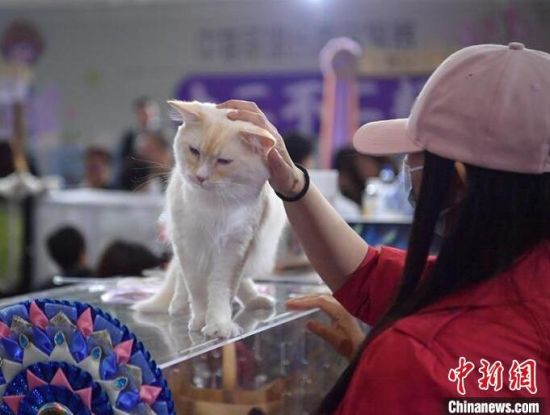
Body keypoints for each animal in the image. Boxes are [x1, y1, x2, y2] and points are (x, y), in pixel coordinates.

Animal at [134, 100, 286, 338]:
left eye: (223, 161)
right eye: (194, 151)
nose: (200, 177)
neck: (213, 205)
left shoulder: (234, 248)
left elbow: (222, 291)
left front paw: (219, 325)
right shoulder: (189, 246)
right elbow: (197, 291)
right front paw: (199, 320)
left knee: (242, 283)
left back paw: (256, 300)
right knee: (180, 279)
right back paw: (178, 306)